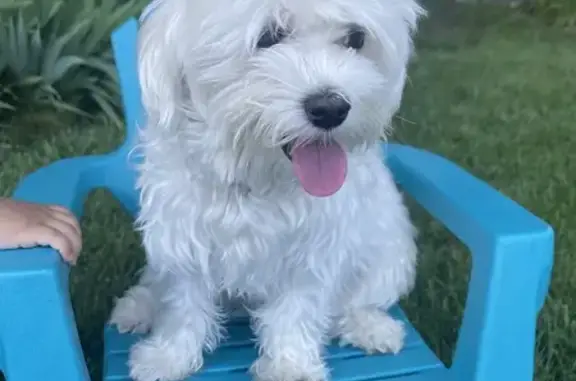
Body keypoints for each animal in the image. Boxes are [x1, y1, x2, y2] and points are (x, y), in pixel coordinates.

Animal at [110, 0, 424, 380]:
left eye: (356, 38)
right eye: (269, 36)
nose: (331, 108)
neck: (258, 178)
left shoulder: (312, 254)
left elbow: (296, 312)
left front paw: (291, 367)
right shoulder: (184, 242)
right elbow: (182, 305)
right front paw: (168, 357)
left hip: (389, 256)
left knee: (357, 301)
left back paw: (372, 328)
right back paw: (137, 308)